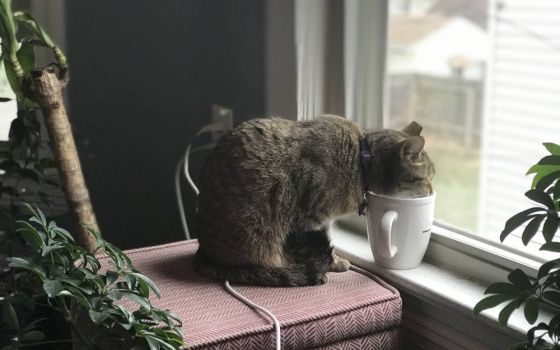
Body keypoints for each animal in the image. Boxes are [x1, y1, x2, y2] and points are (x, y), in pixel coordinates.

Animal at [195, 116, 436, 286]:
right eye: (427, 178)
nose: (432, 190)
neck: (361, 160)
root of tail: (205, 252)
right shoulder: (308, 220)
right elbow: (316, 249)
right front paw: (330, 265)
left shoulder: (322, 221)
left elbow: (327, 244)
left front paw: (334, 262)